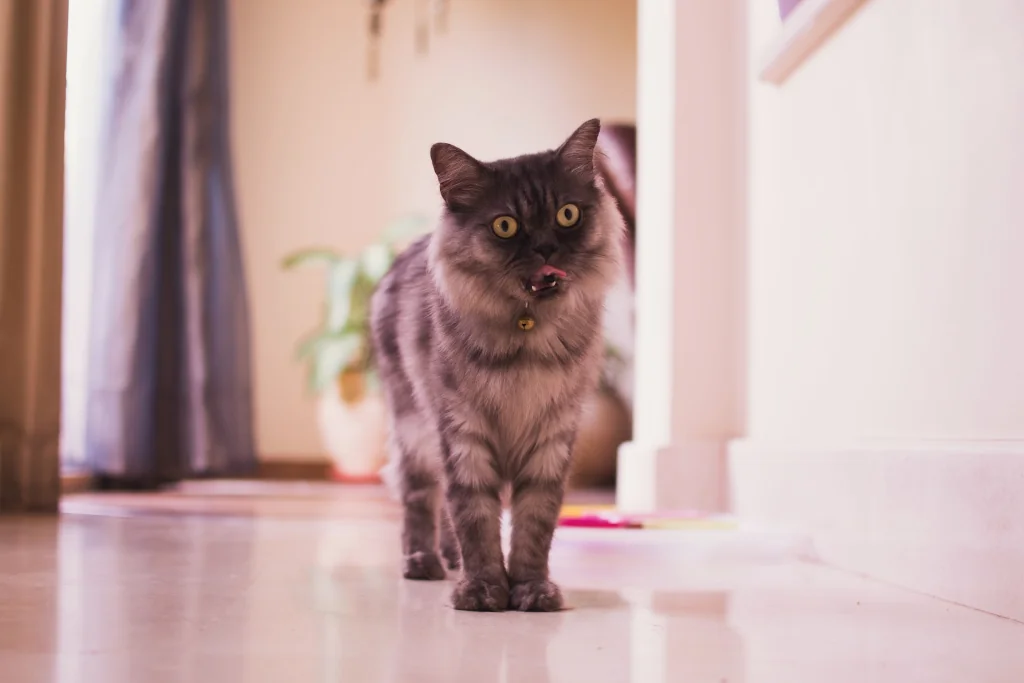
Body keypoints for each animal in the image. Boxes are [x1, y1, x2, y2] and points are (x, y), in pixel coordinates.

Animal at [370, 120, 622, 610]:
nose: (546, 248)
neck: (527, 336)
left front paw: (531, 590)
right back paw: (423, 563)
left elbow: (533, 524)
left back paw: (450, 560)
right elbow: (476, 518)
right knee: (420, 500)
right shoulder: (462, 433)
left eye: (568, 215)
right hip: (414, 430)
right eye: (506, 226)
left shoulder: (551, 438)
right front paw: (484, 590)